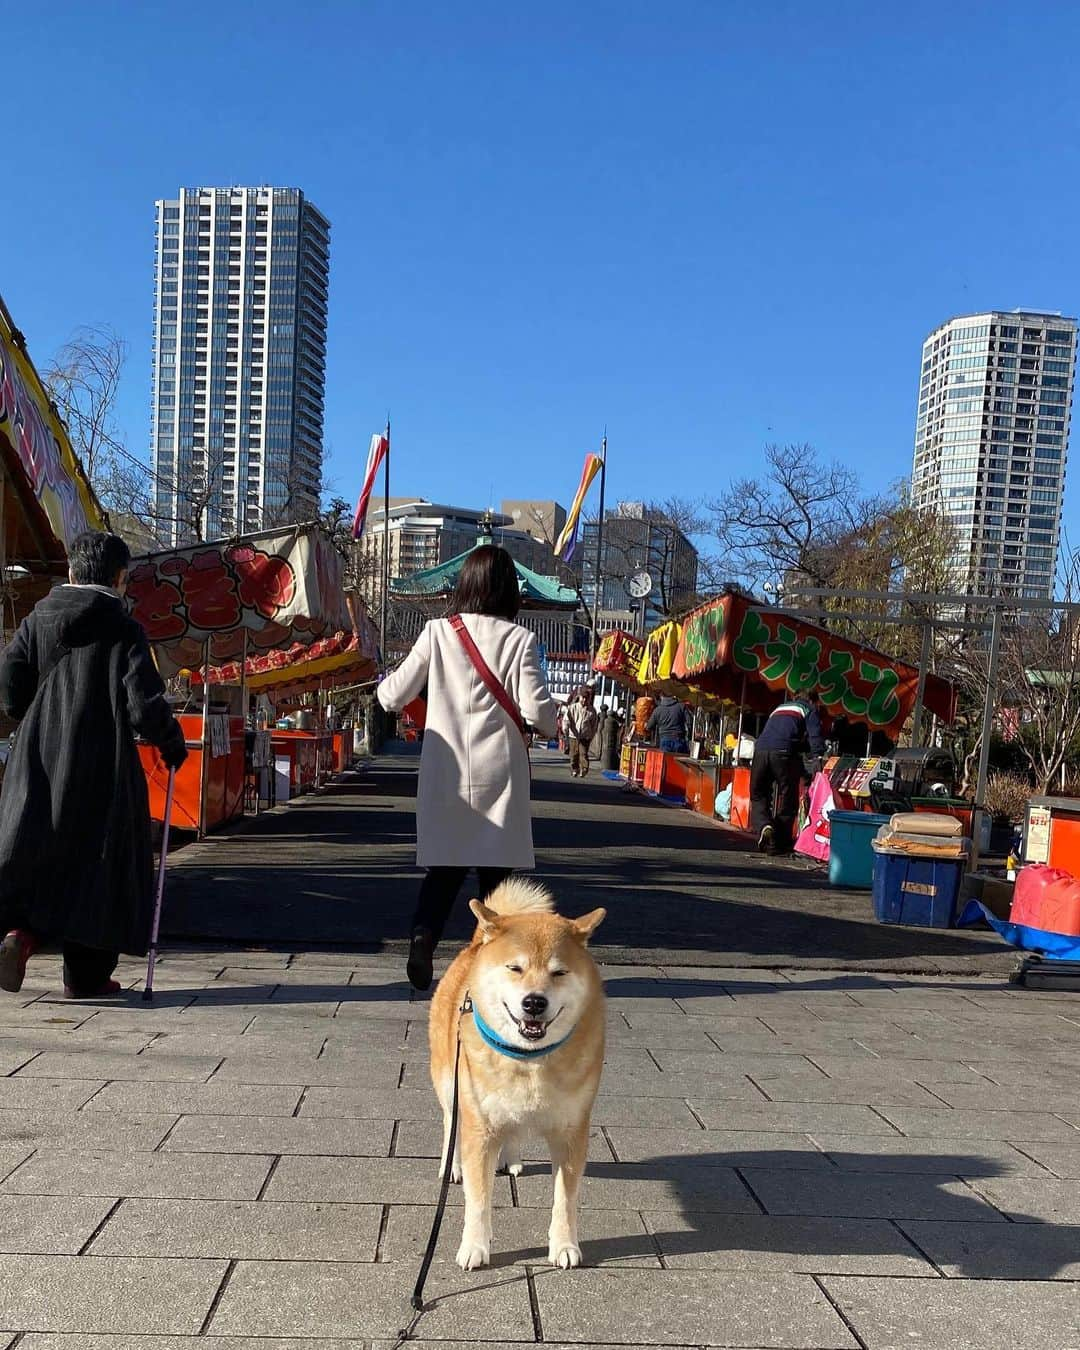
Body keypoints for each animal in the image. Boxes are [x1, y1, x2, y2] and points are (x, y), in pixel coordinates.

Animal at [429, 880, 607, 1269]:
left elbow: (564, 1200)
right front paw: (474, 1247)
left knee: (511, 1131)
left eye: (559, 972)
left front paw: (564, 1245)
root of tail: (476, 944)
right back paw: (452, 1166)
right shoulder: (479, 1127)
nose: (534, 1002)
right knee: (450, 1120)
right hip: (450, 1081)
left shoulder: (571, 1132)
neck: (528, 1059)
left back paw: (510, 1159)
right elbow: (478, 1200)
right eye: (514, 968)